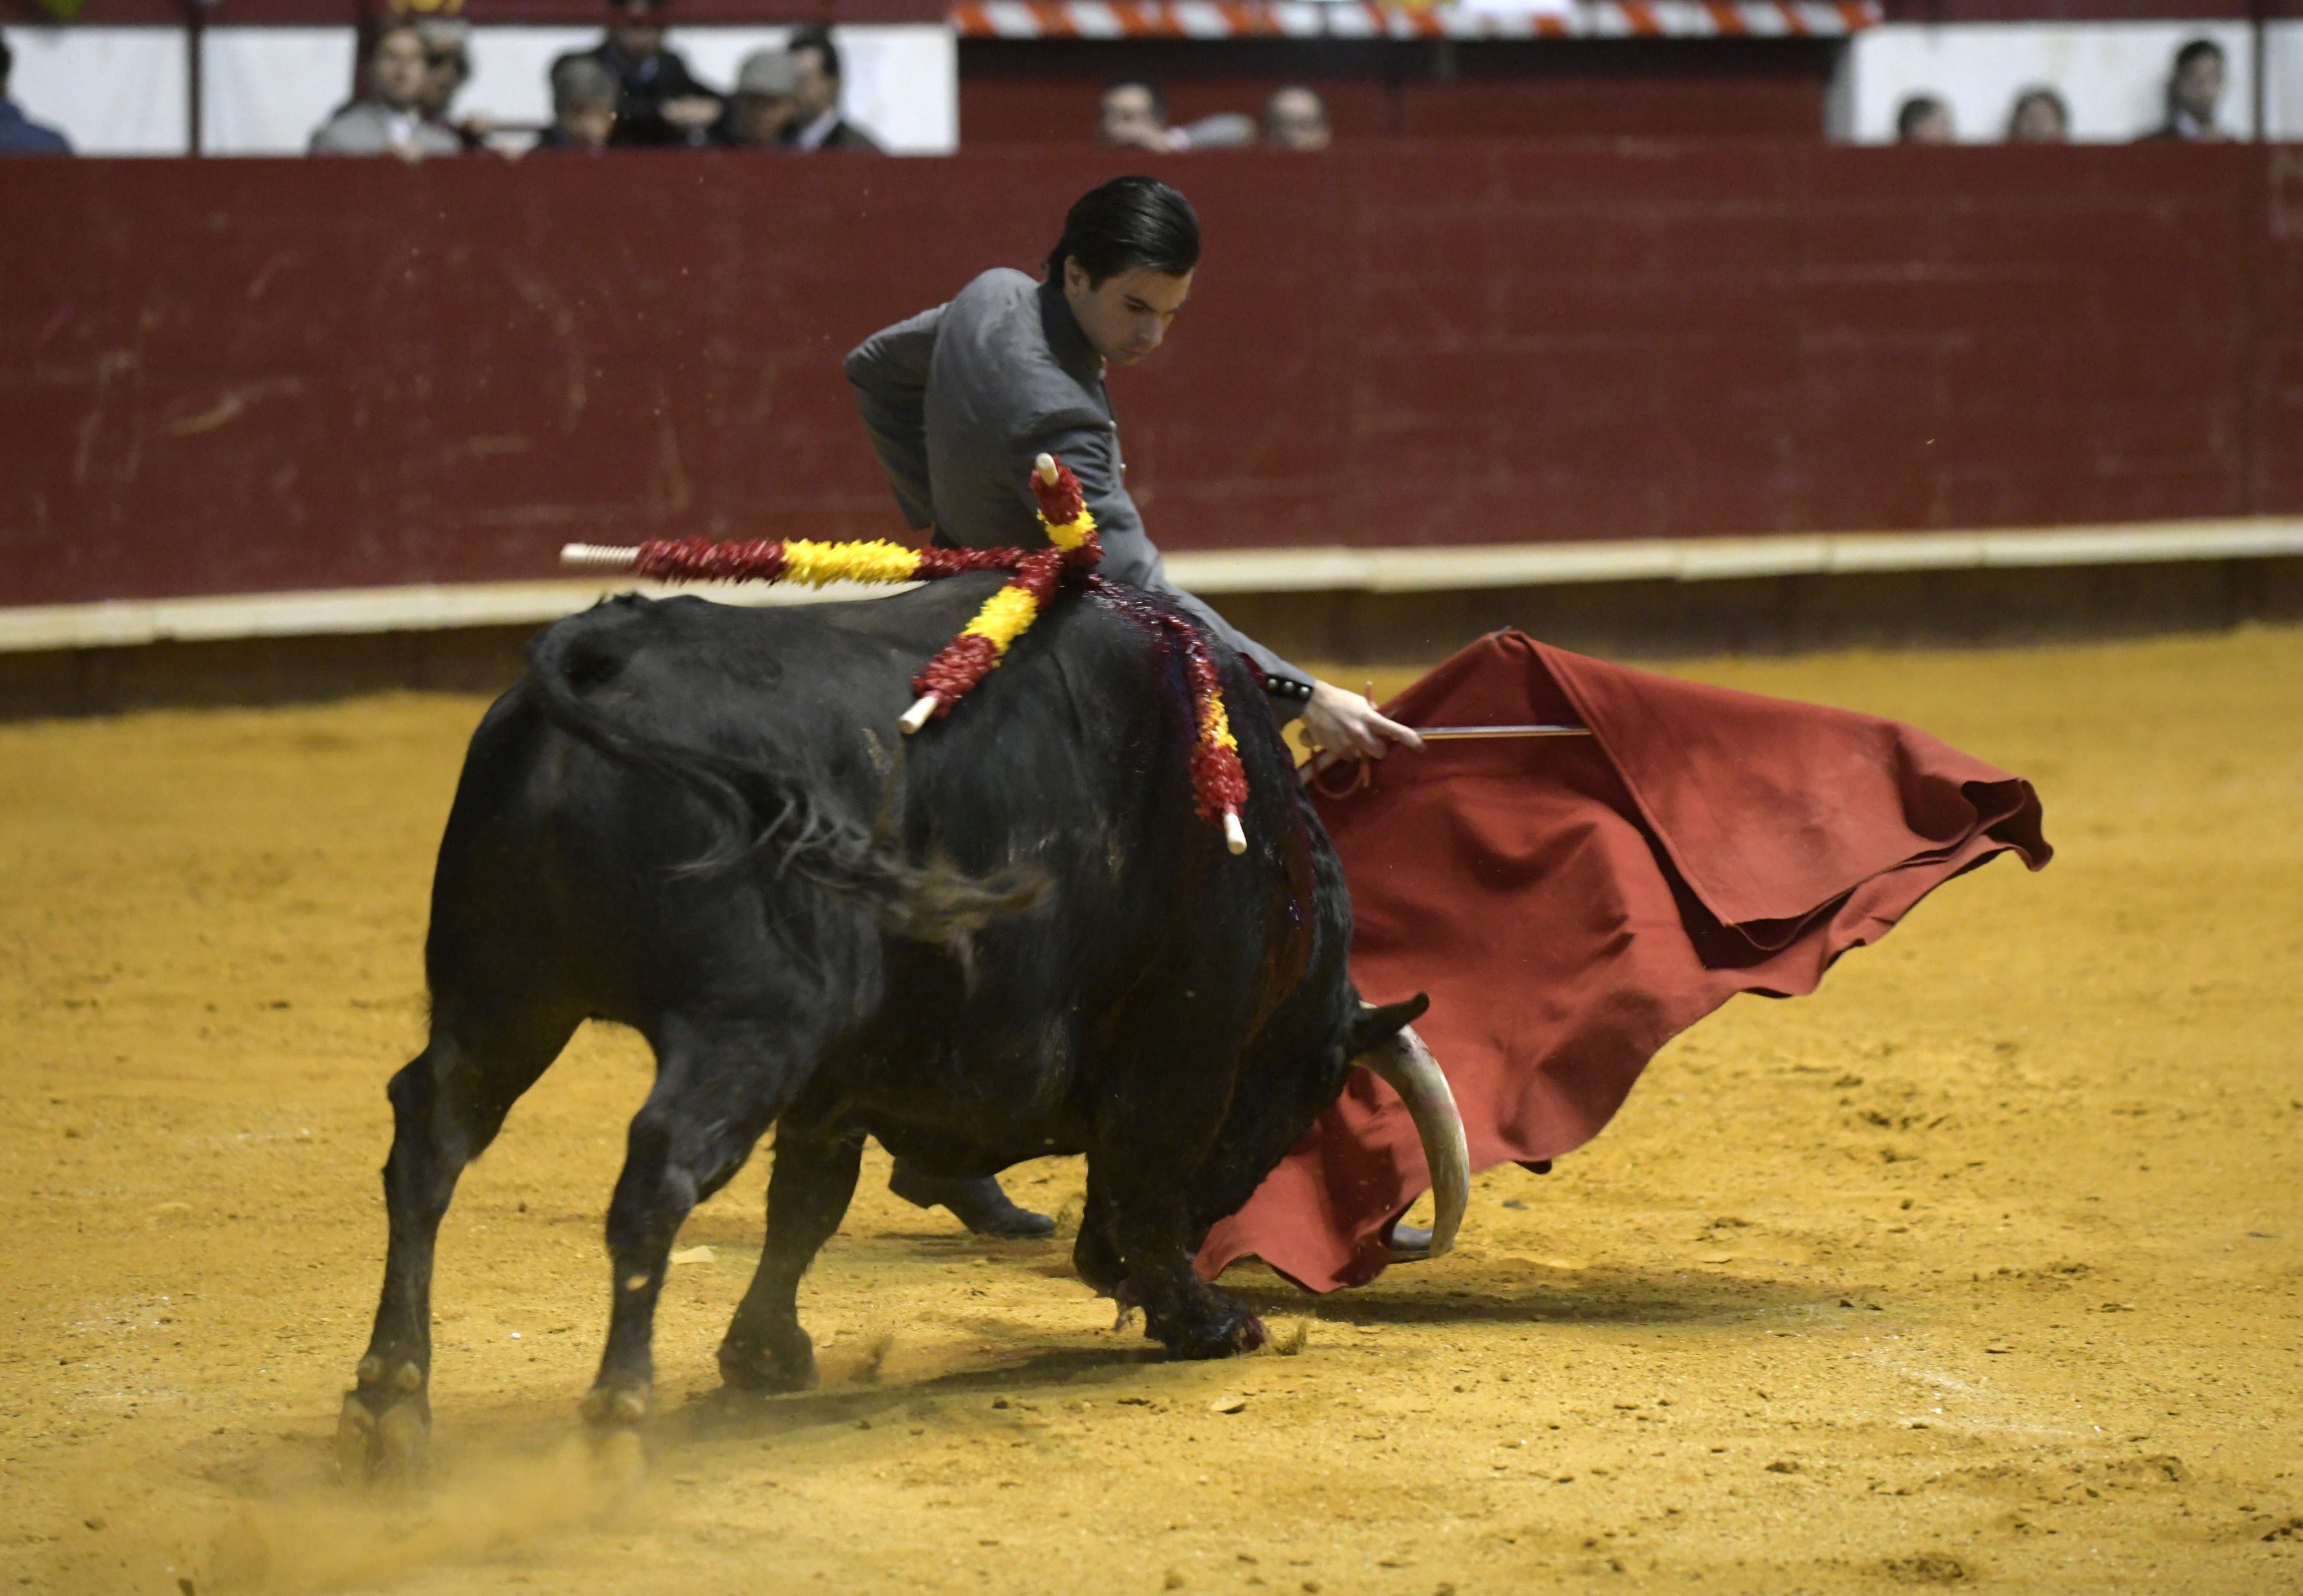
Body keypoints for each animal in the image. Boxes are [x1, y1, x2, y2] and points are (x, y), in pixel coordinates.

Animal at [334, 573, 1455, 1483]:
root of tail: (600, 660)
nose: (1099, 1271)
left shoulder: (841, 1078)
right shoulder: (1188, 1036)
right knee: (657, 1172)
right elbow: (1149, 1173)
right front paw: (1207, 1317)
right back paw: (613, 1415)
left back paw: (390, 1401)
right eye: (1309, 1094)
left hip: (503, 999)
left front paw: (765, 1354)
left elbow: (809, 1201)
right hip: (742, 1024)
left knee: (430, 1140)